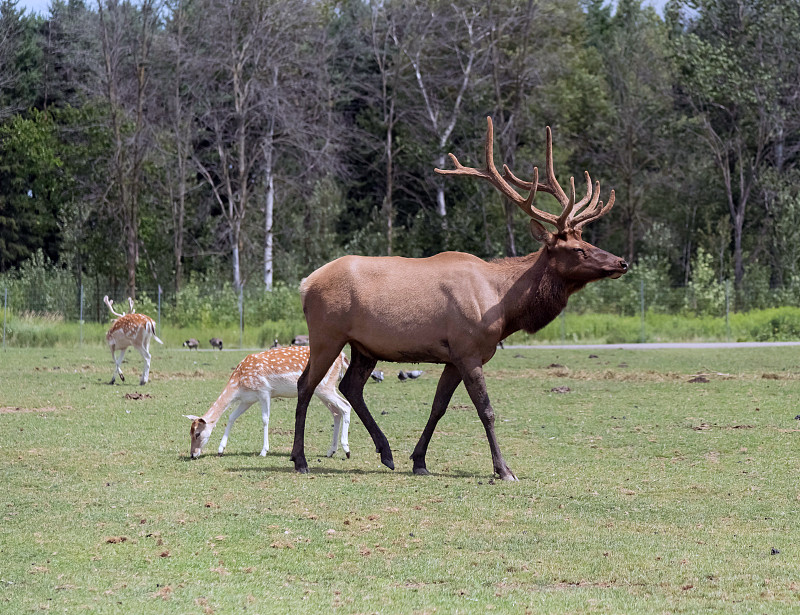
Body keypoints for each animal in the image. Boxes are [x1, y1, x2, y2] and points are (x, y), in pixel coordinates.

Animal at [188, 348, 354, 460]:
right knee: (336, 412)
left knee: (345, 406)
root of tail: (343, 357)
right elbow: (231, 417)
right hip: (323, 389)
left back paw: (347, 450)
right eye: (189, 433)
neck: (238, 384)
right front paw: (220, 450)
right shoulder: (248, 399)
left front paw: (263, 451)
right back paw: (331, 451)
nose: (192, 454)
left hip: (325, 386)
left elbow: (265, 419)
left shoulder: (264, 391)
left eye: (197, 434)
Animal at [290, 116, 628, 482]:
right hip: (327, 334)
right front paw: (503, 469)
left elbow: (439, 407)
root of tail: (306, 284)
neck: (504, 305)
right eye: (578, 249)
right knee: (305, 384)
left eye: (588, 241)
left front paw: (419, 461)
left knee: (352, 387)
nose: (621, 262)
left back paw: (387, 452)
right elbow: (486, 409)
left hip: (364, 346)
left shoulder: (452, 357)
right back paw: (300, 459)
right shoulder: (469, 350)